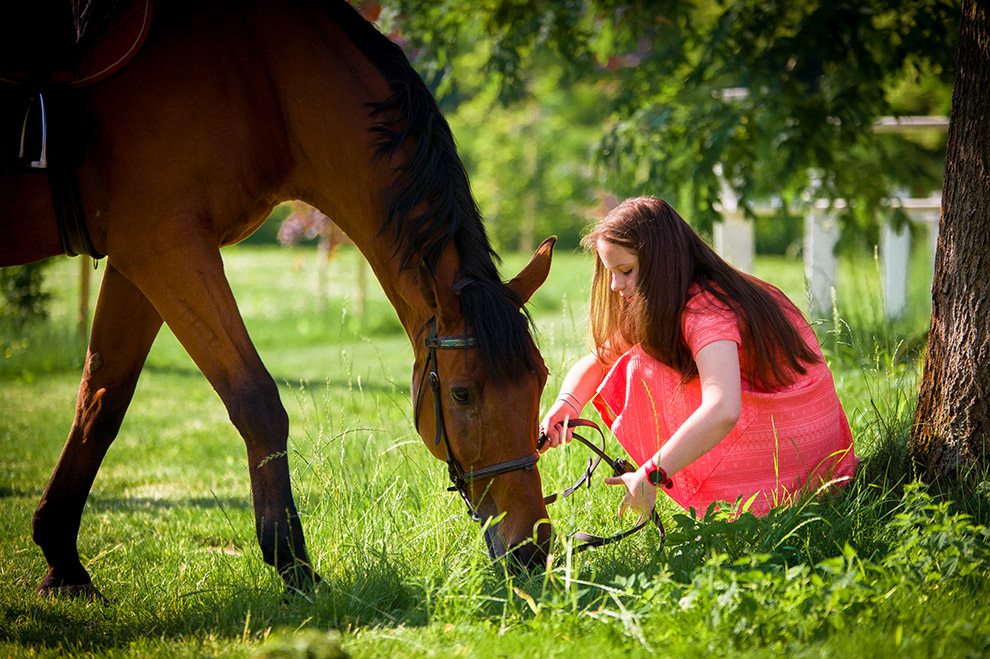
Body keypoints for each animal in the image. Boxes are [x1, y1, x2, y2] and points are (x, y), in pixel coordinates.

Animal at [0, 0, 560, 600]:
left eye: (541, 380)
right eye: (460, 395)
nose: (531, 549)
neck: (260, 76)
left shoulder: (136, 259)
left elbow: (100, 403)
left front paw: (63, 563)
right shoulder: (165, 244)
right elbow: (256, 399)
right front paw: (293, 564)